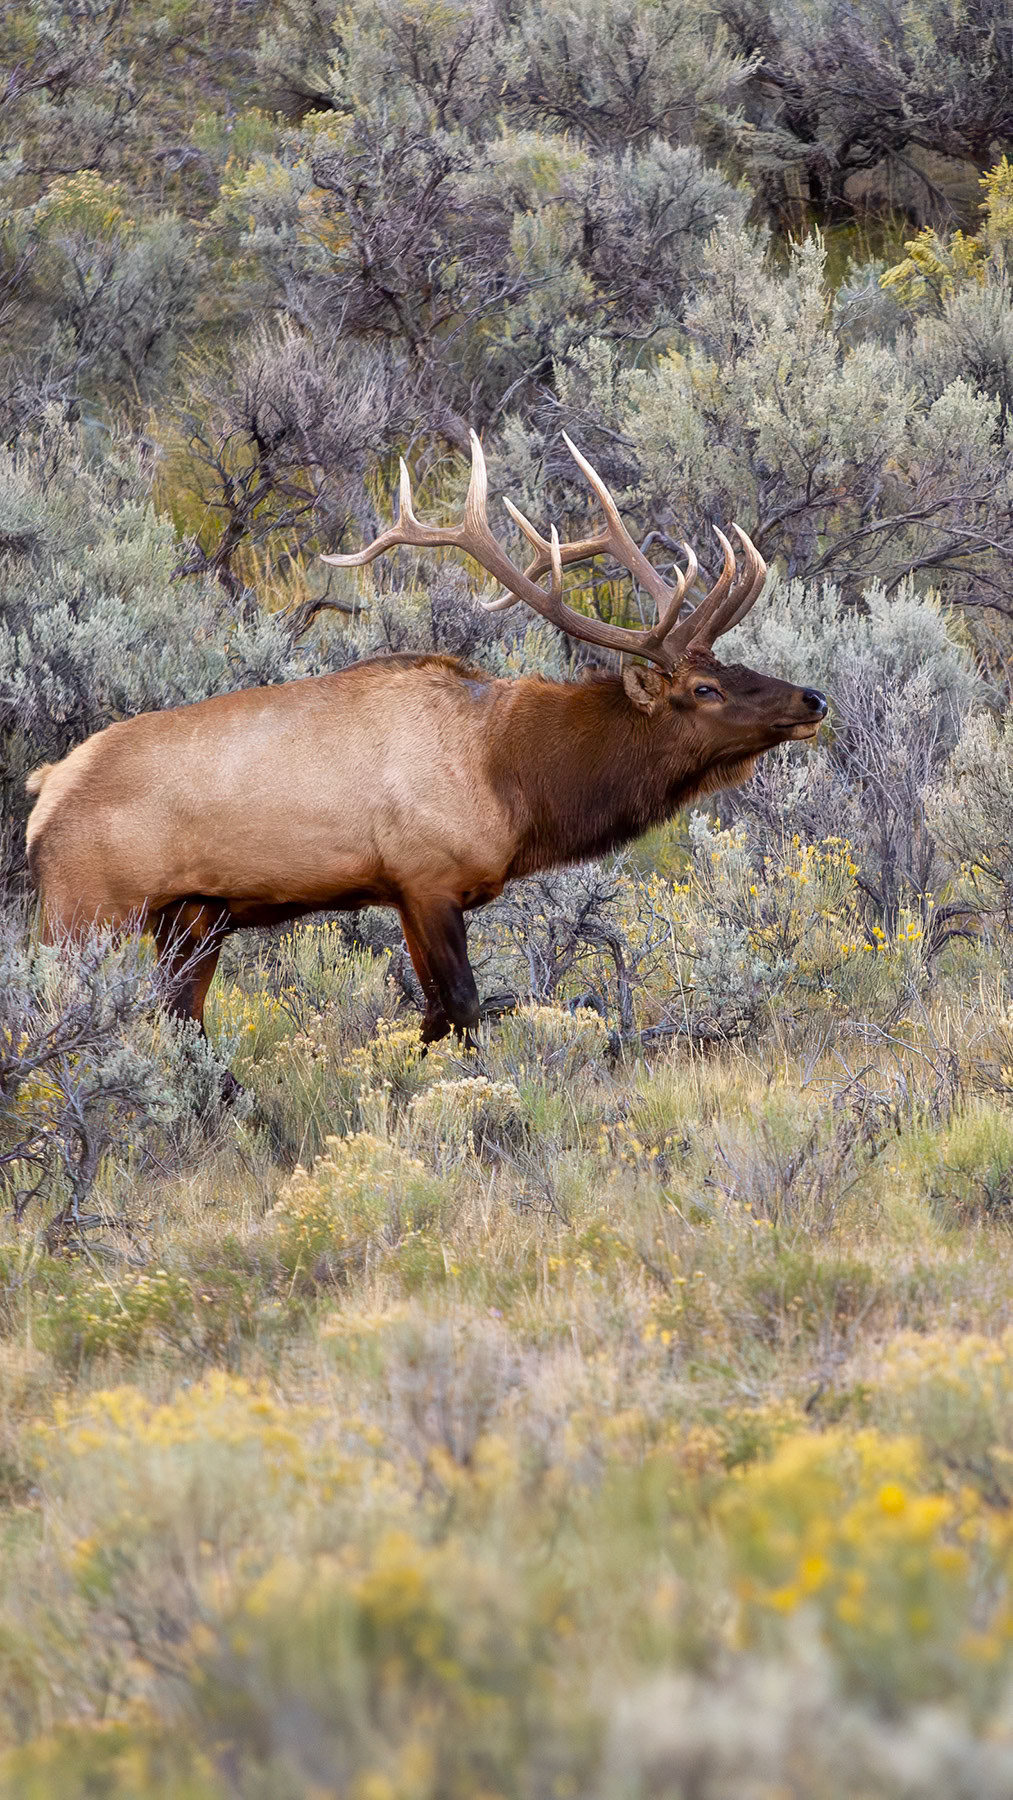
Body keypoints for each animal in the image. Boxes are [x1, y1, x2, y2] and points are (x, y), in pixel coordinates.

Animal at [25, 431, 826, 1051]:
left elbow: (433, 1016)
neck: (513, 778)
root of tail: (43, 793)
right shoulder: (426, 876)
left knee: (181, 1025)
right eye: (704, 689)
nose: (812, 698)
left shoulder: (406, 892)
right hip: (81, 913)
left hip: (191, 917)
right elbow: (462, 1009)